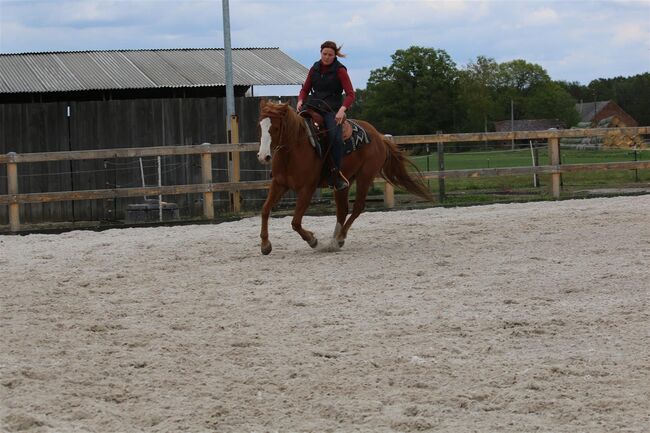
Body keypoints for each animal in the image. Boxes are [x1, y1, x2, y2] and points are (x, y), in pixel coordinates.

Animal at [256, 99, 432, 255]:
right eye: (260, 126)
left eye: (275, 127)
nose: (263, 156)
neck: (294, 150)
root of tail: (379, 136)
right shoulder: (279, 184)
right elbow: (265, 210)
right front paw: (265, 245)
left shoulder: (307, 189)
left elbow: (295, 222)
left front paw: (313, 241)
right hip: (344, 181)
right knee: (342, 209)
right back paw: (334, 240)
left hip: (365, 176)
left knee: (358, 207)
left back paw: (339, 239)